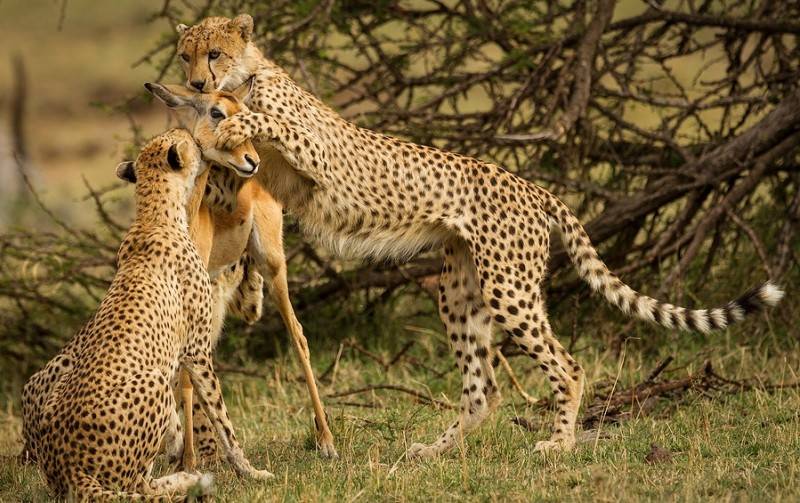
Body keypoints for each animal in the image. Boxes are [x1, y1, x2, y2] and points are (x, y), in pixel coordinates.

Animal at [21, 130, 272, 500]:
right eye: (191, 143)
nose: (197, 138)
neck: (154, 214)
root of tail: (68, 469)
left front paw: (179, 444)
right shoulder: (197, 351)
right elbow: (222, 419)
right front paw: (250, 471)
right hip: (151, 382)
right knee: (138, 486)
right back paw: (188, 480)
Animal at [178, 12, 784, 460]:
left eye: (215, 54)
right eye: (186, 54)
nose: (194, 84)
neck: (248, 76)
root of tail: (535, 188)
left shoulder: (317, 158)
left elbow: (266, 124)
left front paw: (233, 123)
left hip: (509, 288)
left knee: (567, 366)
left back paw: (558, 445)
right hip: (460, 290)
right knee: (483, 390)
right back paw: (434, 450)